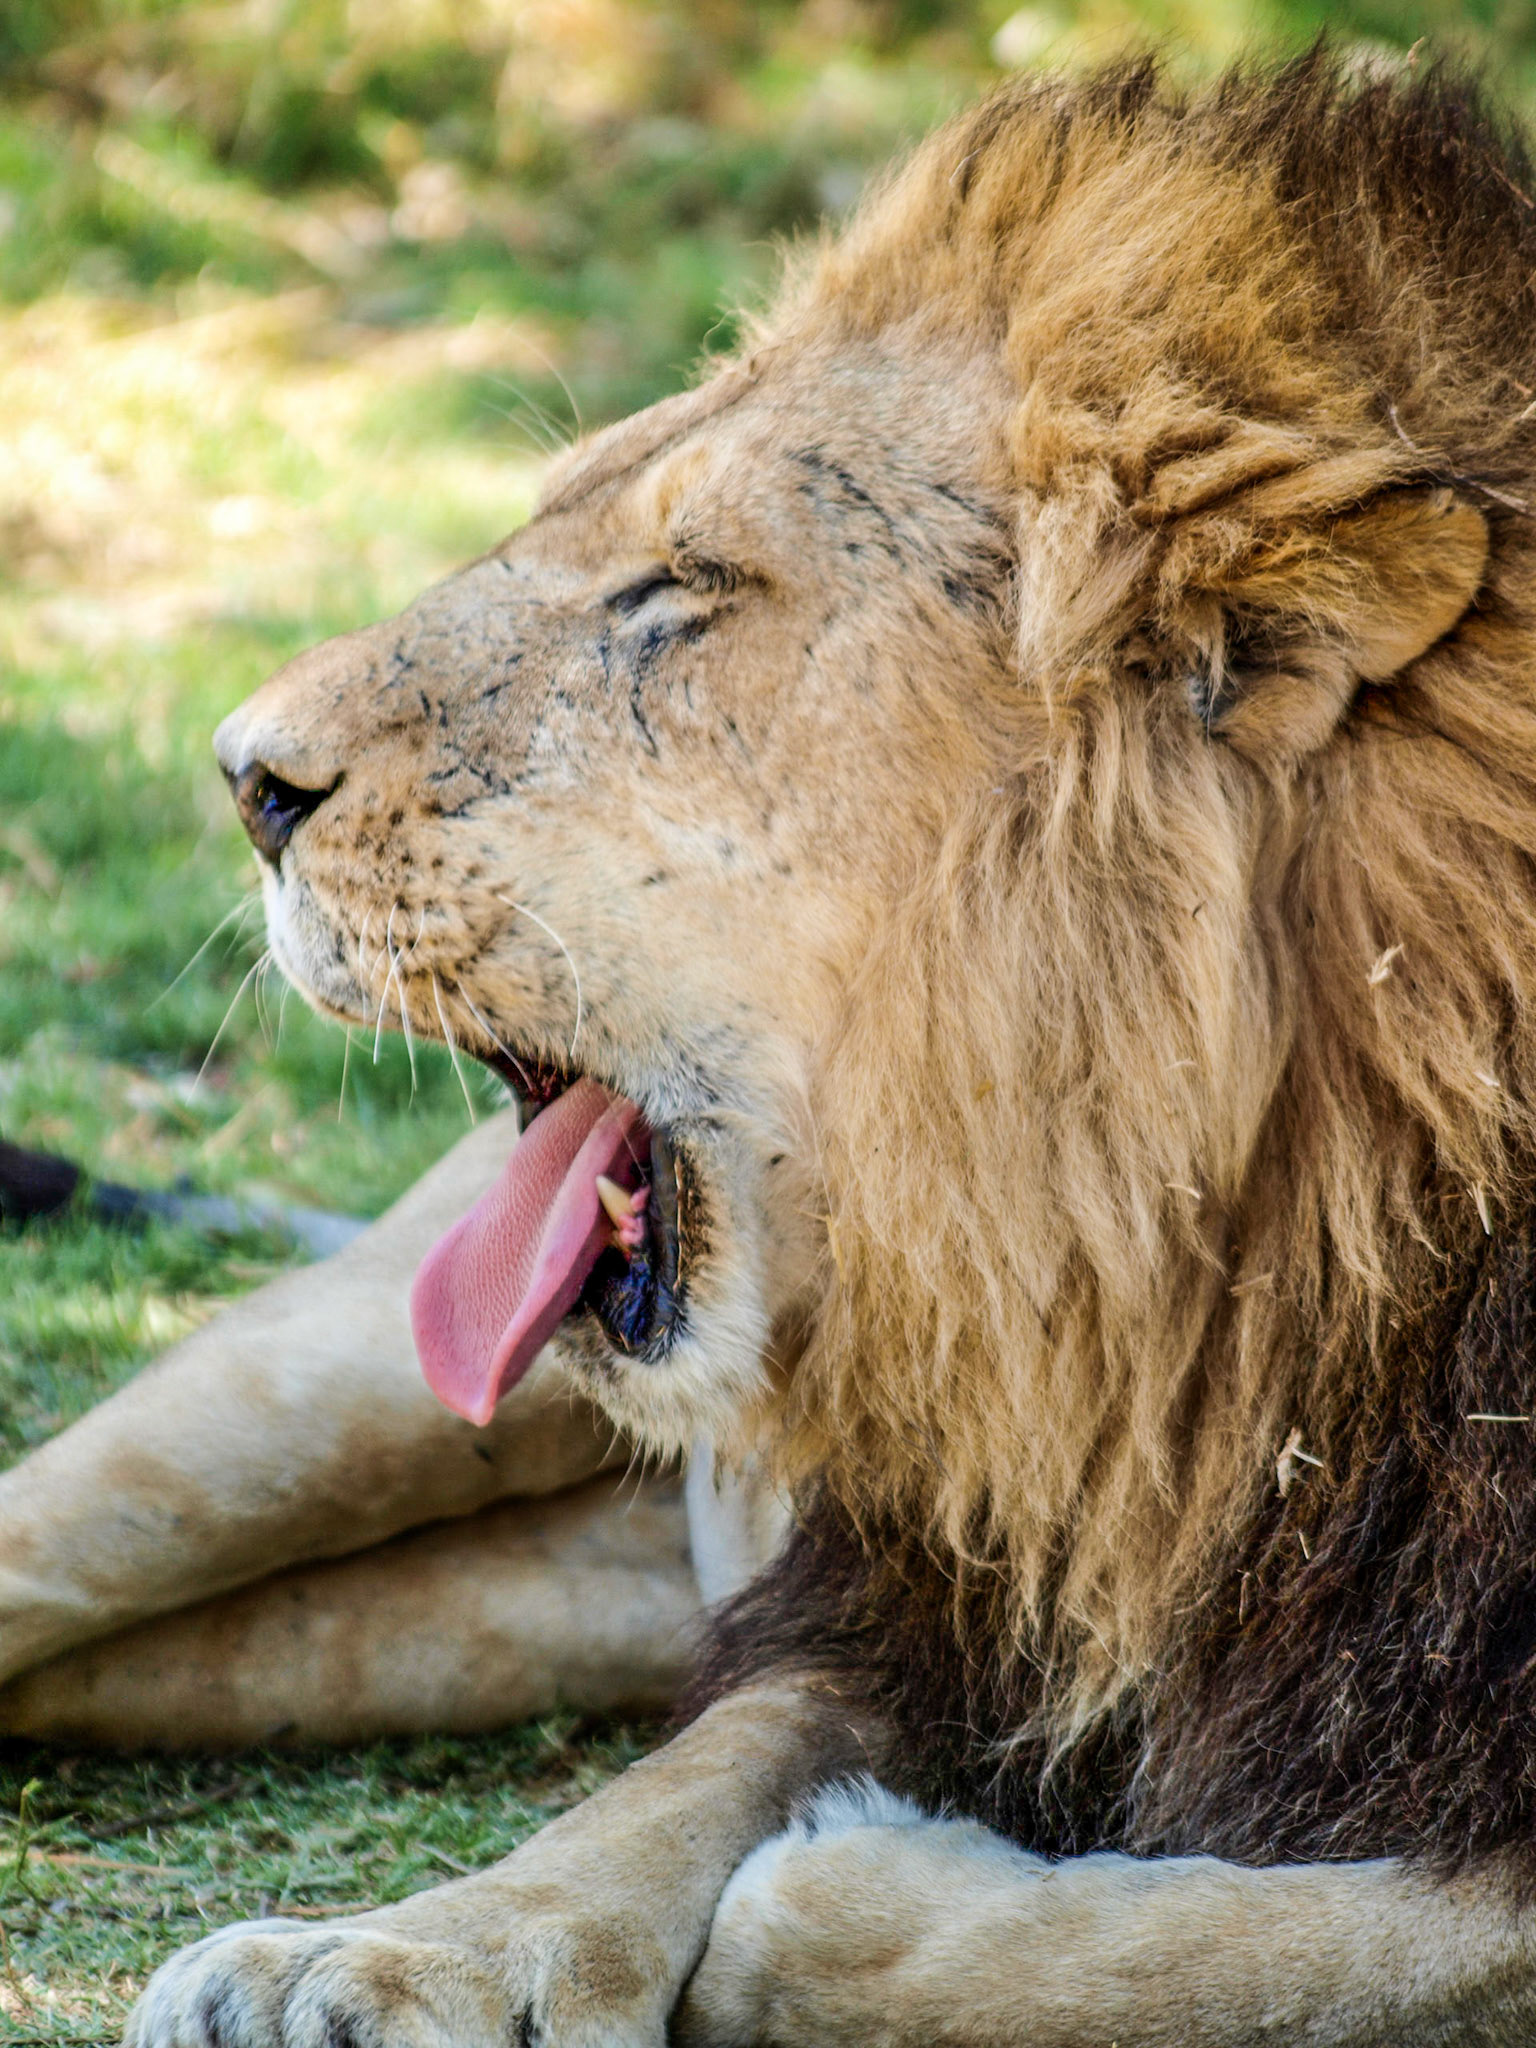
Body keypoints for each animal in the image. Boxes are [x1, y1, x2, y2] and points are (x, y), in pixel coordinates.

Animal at [12, 44, 1536, 2044]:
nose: (242, 775)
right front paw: (397, 1957)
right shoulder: (919, 1584)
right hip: (308, 1396)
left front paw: (829, 1900)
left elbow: (1322, 1951)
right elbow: (682, 1784)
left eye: (682, 587)